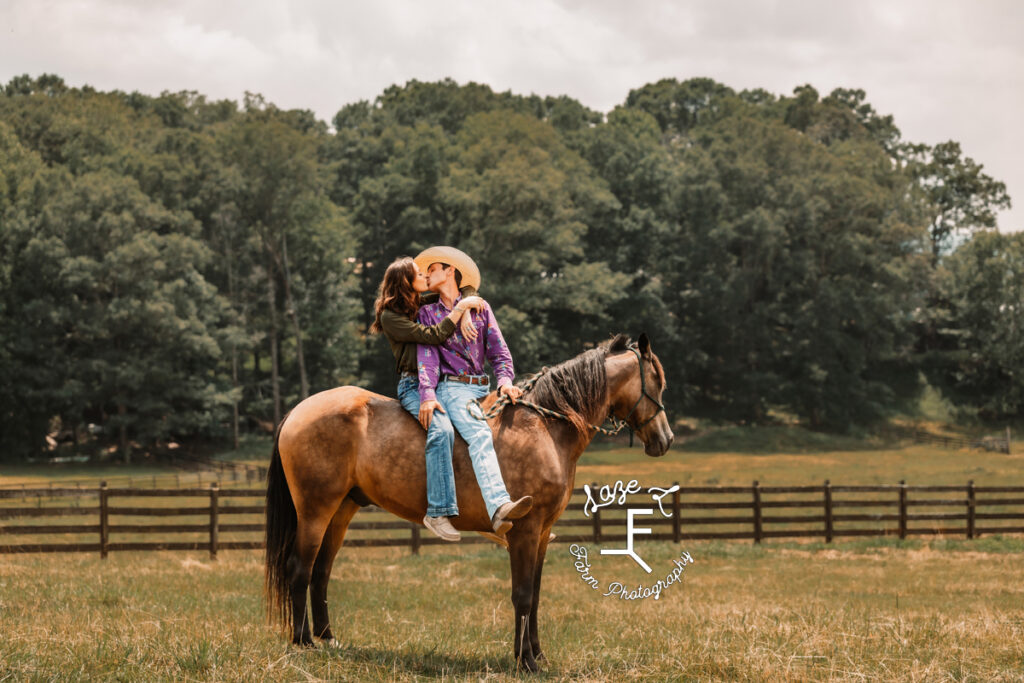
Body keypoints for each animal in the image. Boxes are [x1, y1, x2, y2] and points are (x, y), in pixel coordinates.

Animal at [264, 331, 671, 671]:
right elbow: (523, 595)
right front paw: (526, 662)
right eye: (657, 381)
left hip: (342, 510)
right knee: (299, 568)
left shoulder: (541, 535)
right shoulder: (524, 531)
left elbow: (536, 596)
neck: (543, 427)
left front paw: (536, 654)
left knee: (321, 571)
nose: (664, 439)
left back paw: (328, 638)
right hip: (315, 510)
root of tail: (296, 412)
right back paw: (303, 642)